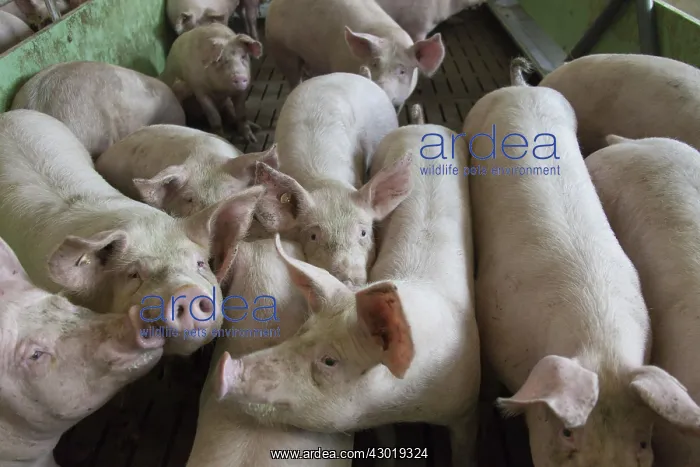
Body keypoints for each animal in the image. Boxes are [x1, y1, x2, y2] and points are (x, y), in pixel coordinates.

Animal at [213, 118, 479, 466]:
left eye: (330, 361)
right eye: (300, 331)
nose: (225, 366)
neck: (406, 404)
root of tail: (423, 124)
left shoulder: (465, 406)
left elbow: (465, 446)